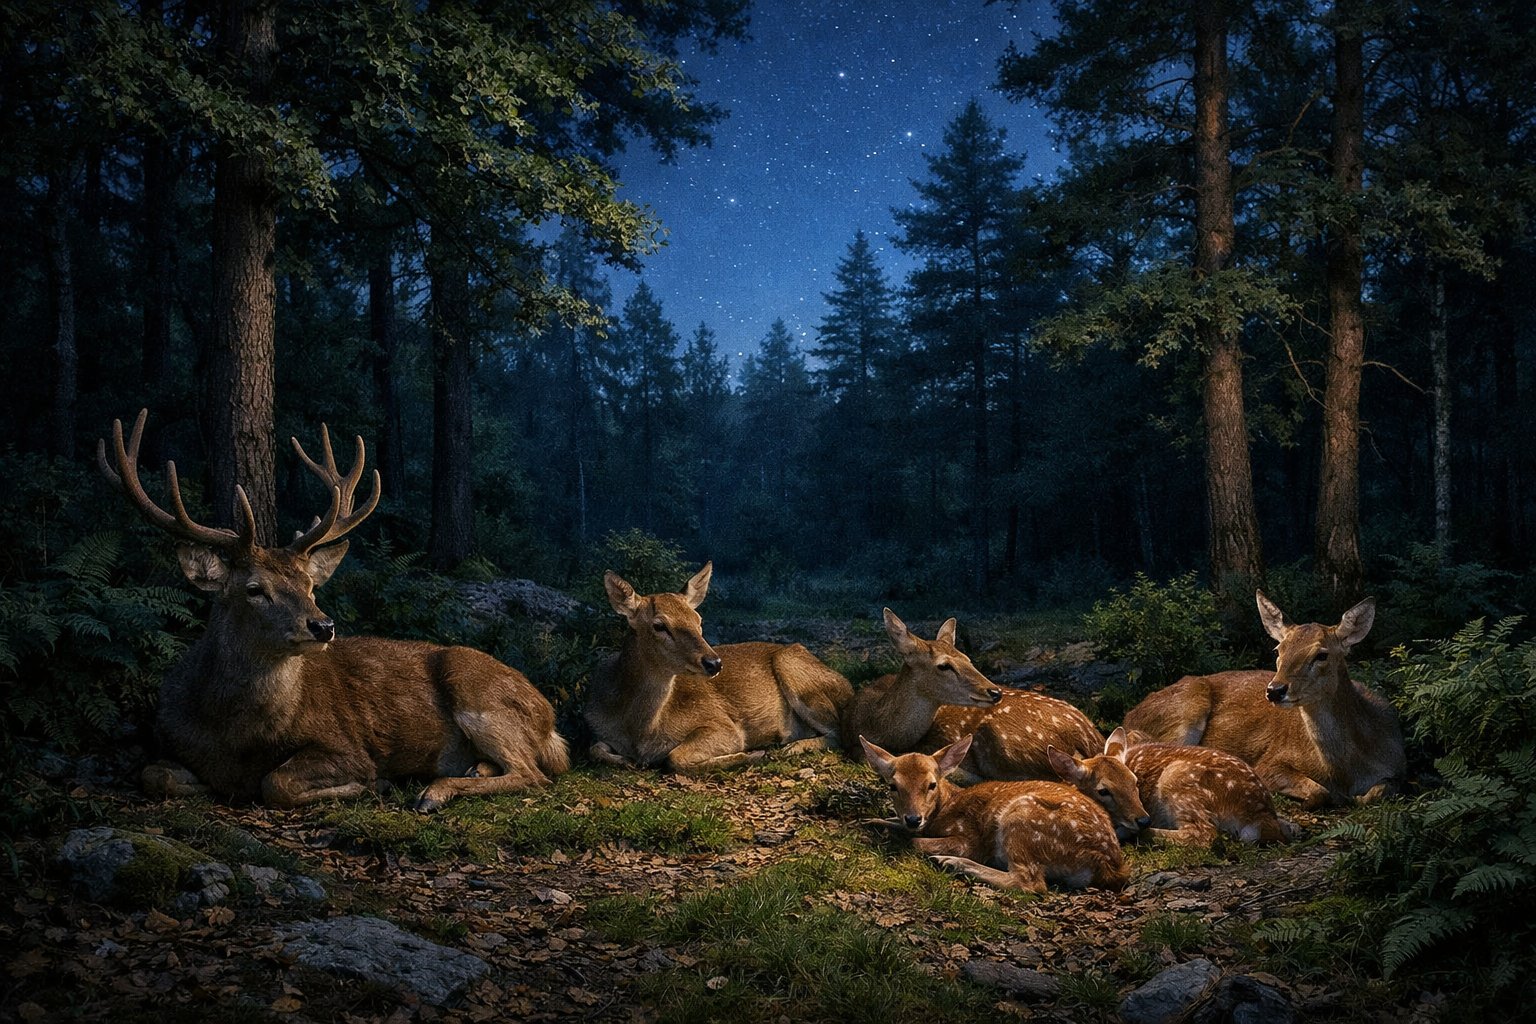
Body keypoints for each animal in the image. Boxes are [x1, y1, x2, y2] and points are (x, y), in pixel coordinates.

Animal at [99, 409, 568, 812]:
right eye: (254, 589)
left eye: (310, 585)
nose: (322, 626)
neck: (235, 735)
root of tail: (549, 720)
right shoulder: (171, 740)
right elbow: (154, 775)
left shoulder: (345, 745)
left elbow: (276, 783)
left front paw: (376, 783)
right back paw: (471, 769)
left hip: (478, 692)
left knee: (534, 773)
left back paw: (434, 792)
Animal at [585, 564, 853, 771]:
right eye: (659, 625)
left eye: (698, 620)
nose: (714, 662)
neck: (639, 731)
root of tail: (848, 687)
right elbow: (595, 748)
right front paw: (624, 761)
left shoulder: (724, 725)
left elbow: (675, 757)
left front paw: (751, 755)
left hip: (793, 669)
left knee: (838, 732)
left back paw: (792, 747)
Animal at [859, 734, 1130, 893]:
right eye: (893, 786)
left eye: (931, 784)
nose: (914, 818)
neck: (946, 807)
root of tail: (1108, 863)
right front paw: (870, 821)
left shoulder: (968, 838)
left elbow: (915, 841)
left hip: (1021, 819)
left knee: (1030, 883)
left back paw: (952, 862)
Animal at [1099, 729, 1297, 846]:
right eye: (1105, 791)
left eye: (1134, 783)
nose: (1141, 819)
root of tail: (1259, 815)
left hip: (1179, 782)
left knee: (1204, 834)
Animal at [1123, 591, 1405, 809]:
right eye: (1278, 649)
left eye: (1321, 654)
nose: (1275, 690)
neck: (1345, 770)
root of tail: (1129, 714)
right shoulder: (1269, 762)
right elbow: (1319, 791)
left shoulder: (1397, 768)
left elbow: (1374, 794)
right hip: (1186, 710)